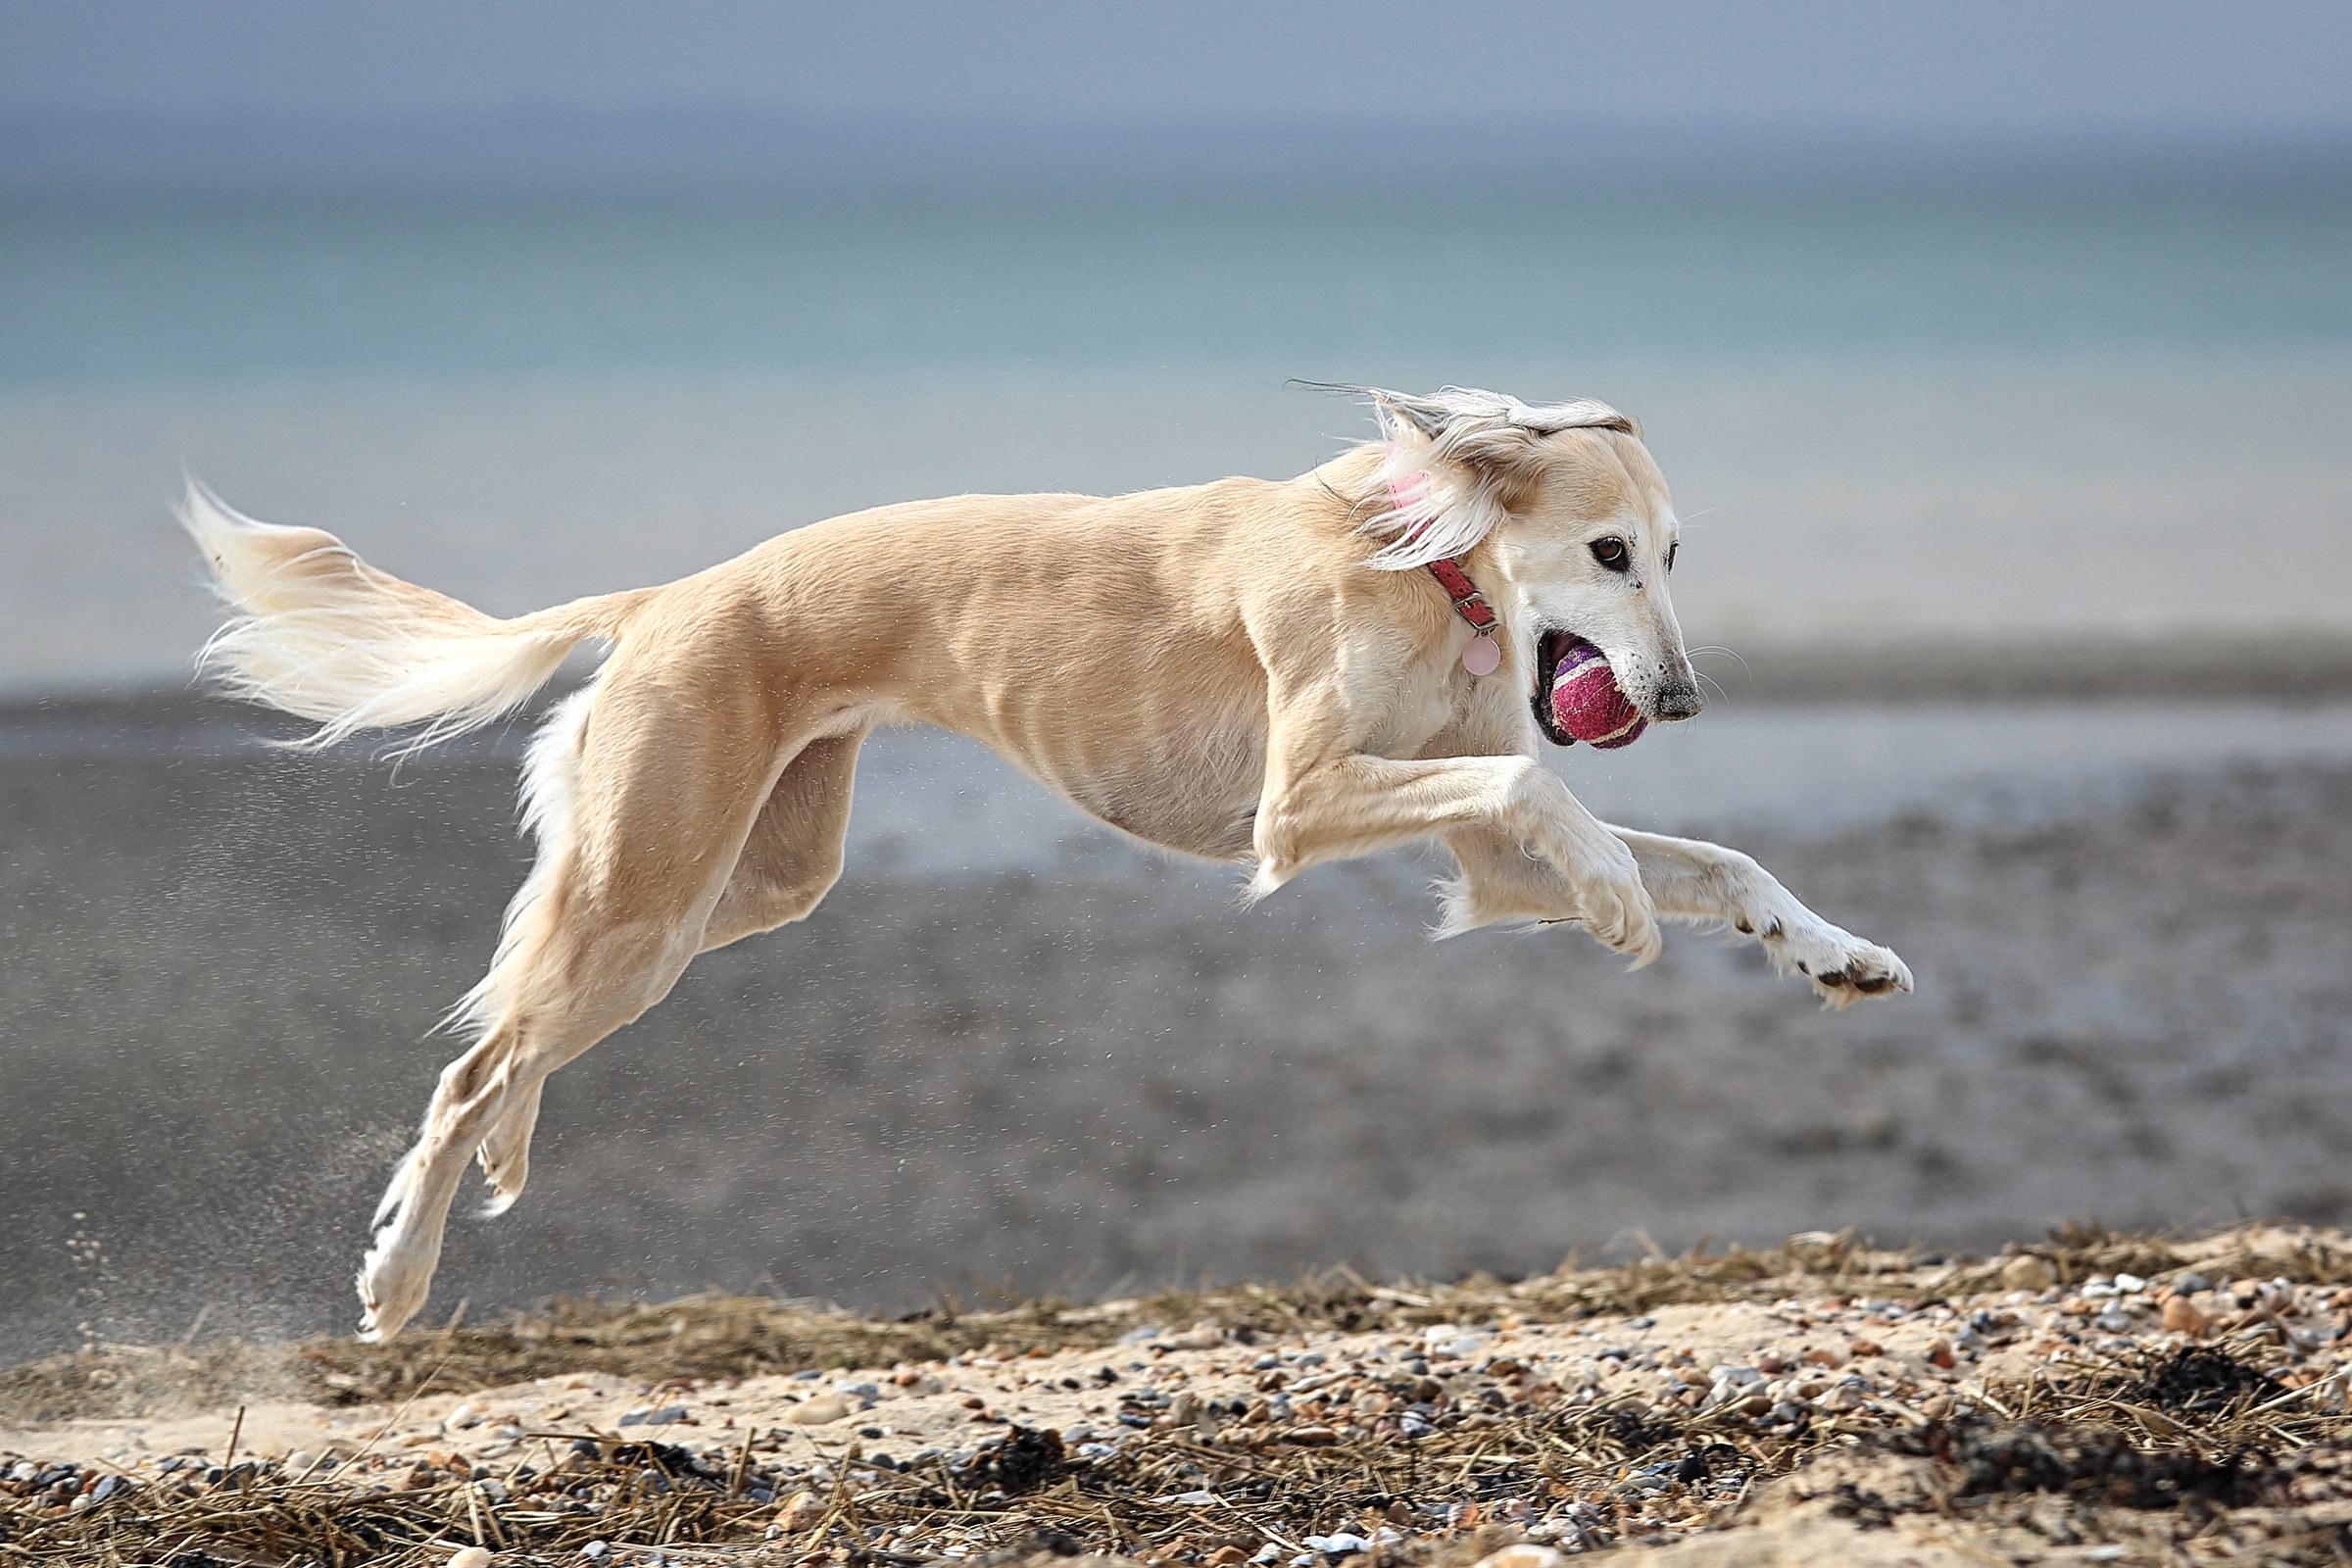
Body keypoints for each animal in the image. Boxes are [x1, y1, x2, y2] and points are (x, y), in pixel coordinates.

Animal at [183, 385, 1909, 1345]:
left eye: (1671, 557)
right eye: (1608, 555)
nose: (1677, 701)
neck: (1424, 564)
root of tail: (670, 594)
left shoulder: (1480, 851)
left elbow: (1697, 851)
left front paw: (1829, 950)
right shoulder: (1304, 807)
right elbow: (1558, 802)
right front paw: (1622, 903)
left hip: (742, 886)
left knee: (508, 1029)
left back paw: (488, 1172)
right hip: (650, 893)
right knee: (474, 1059)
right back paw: (396, 1277)